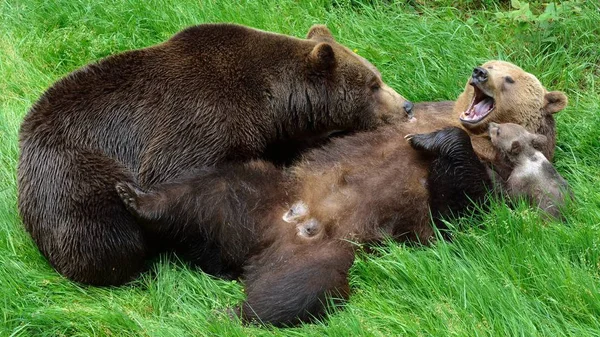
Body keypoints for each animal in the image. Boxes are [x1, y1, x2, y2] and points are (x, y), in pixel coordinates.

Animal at [16, 23, 410, 284]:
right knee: (106, 233)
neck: (272, 103)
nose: (406, 105)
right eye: (373, 84)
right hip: (75, 174)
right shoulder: (198, 121)